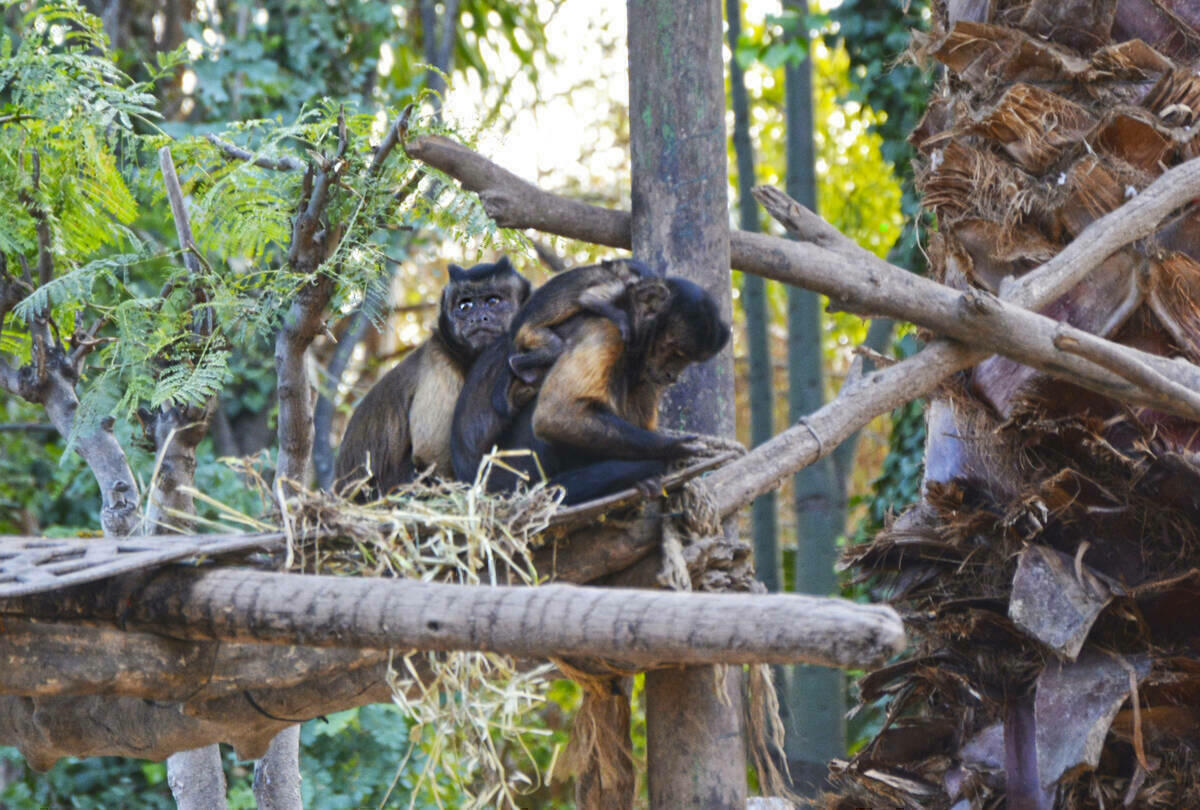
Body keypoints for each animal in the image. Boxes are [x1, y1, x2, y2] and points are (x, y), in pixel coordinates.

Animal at [451, 273, 724, 501]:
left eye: (685, 360)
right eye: (674, 352)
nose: (671, 375)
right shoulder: (606, 330)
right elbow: (556, 416)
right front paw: (672, 448)